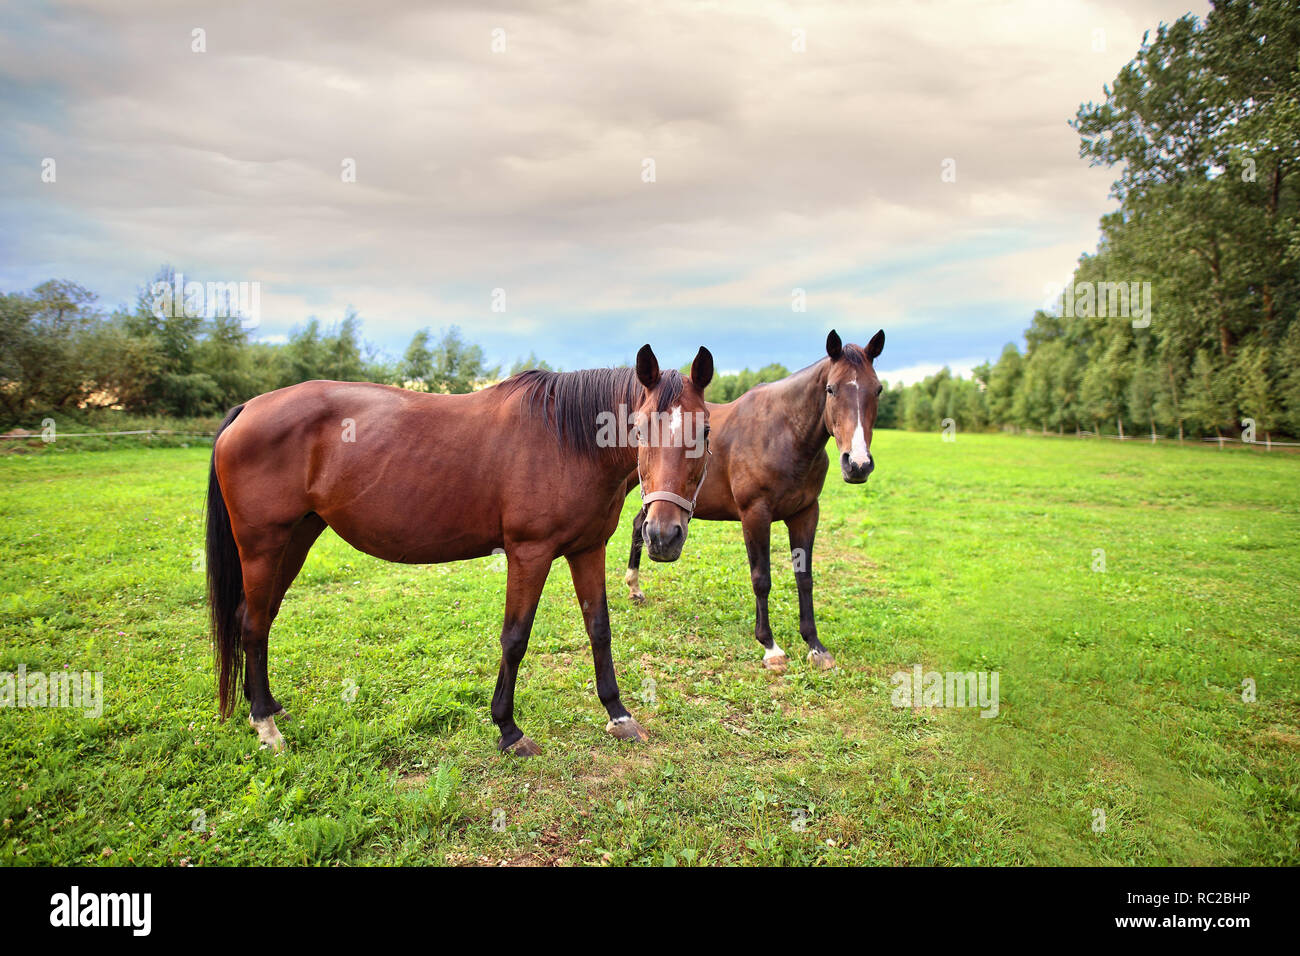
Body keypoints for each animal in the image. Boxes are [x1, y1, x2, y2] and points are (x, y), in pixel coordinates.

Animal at [206, 344, 714, 756]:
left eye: (705, 432)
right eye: (640, 429)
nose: (663, 535)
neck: (566, 439)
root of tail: (248, 408)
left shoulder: (588, 549)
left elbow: (599, 629)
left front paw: (619, 715)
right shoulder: (529, 553)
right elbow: (515, 638)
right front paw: (508, 730)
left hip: (295, 539)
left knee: (259, 620)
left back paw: (267, 707)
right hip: (263, 546)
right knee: (252, 624)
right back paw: (266, 727)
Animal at [624, 329, 884, 672]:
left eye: (878, 389)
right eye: (831, 389)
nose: (858, 464)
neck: (783, 435)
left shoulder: (806, 513)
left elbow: (805, 578)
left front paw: (815, 646)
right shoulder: (755, 514)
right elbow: (761, 578)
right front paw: (770, 647)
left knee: (639, 526)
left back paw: (635, 587)